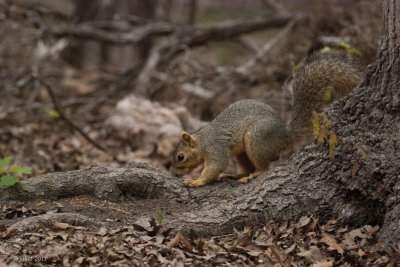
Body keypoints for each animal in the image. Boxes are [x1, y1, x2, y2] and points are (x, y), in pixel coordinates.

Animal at [171, 51, 362, 187]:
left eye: (180, 157)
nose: (174, 174)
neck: (203, 140)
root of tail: (284, 137)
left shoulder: (215, 148)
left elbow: (216, 166)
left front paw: (196, 181)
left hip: (256, 139)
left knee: (264, 168)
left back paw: (252, 175)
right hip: (243, 152)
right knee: (248, 167)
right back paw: (237, 174)